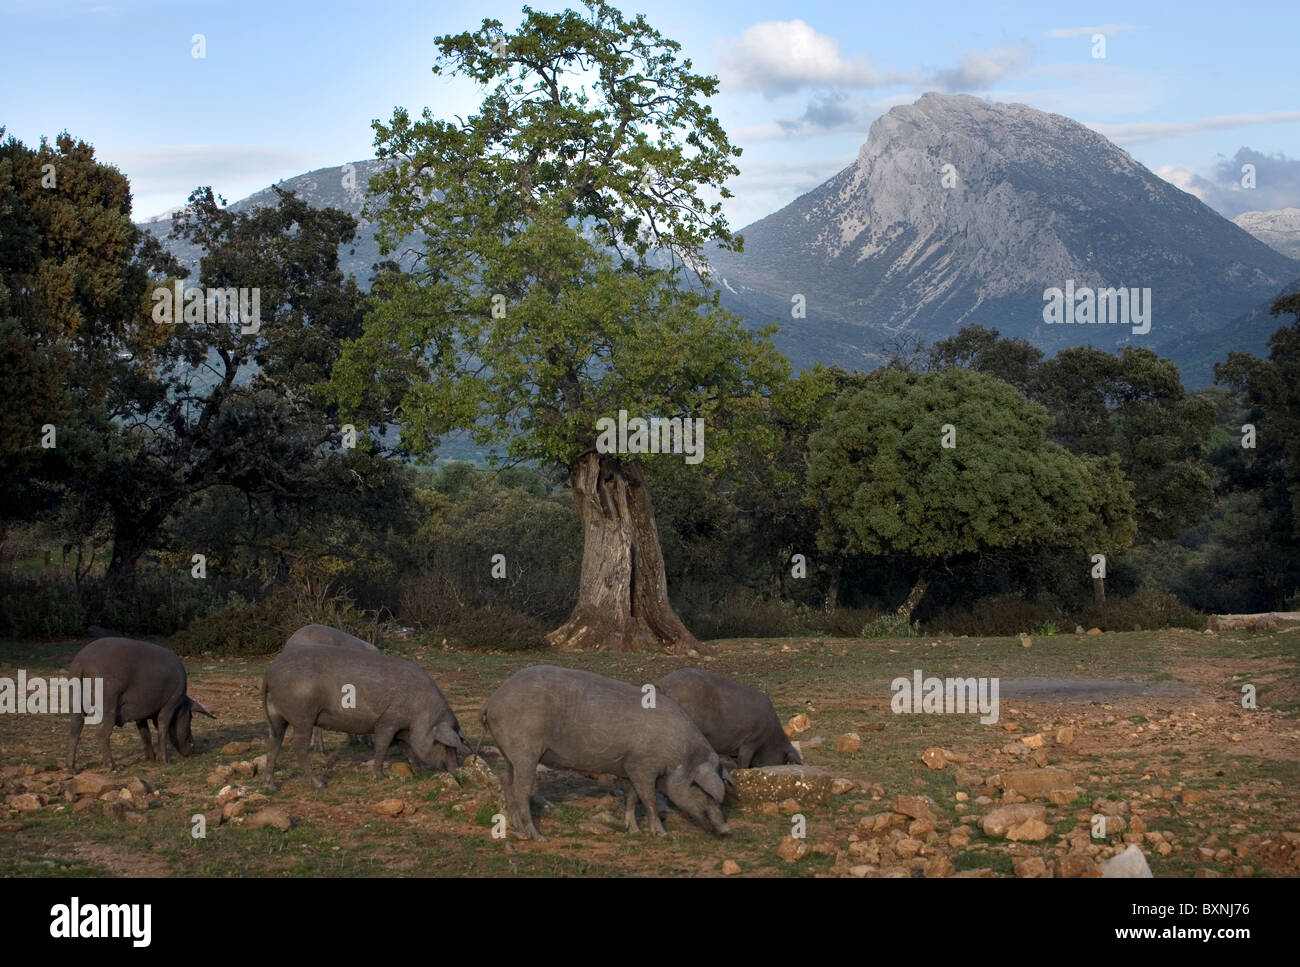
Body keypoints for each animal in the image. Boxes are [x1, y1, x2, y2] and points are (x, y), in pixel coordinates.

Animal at [67, 639, 214, 774]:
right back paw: (115, 767)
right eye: (191, 717)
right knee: (102, 733)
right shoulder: (170, 704)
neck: (181, 704)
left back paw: (73, 770)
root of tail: (81, 663)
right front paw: (165, 762)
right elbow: (162, 729)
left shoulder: (141, 713)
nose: (194, 749)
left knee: (75, 731)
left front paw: (151, 759)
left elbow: (145, 733)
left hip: (75, 700)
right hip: (108, 703)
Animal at [261, 642, 470, 785]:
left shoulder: (401, 729)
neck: (420, 713)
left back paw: (270, 784)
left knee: (274, 741)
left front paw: (419, 773)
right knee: (298, 746)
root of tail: (269, 672)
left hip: (277, 715)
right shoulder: (388, 721)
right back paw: (319, 784)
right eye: (444, 745)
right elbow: (382, 747)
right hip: (303, 715)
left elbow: (408, 750)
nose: (456, 769)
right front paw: (381, 777)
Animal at [480, 665, 733, 837]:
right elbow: (649, 799)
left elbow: (632, 797)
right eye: (701, 790)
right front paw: (661, 834)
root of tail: (492, 701)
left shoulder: (629, 765)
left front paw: (633, 830)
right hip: (526, 750)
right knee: (522, 789)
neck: (679, 756)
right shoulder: (643, 766)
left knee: (506, 779)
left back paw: (516, 828)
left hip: (509, 752)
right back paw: (537, 837)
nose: (727, 830)